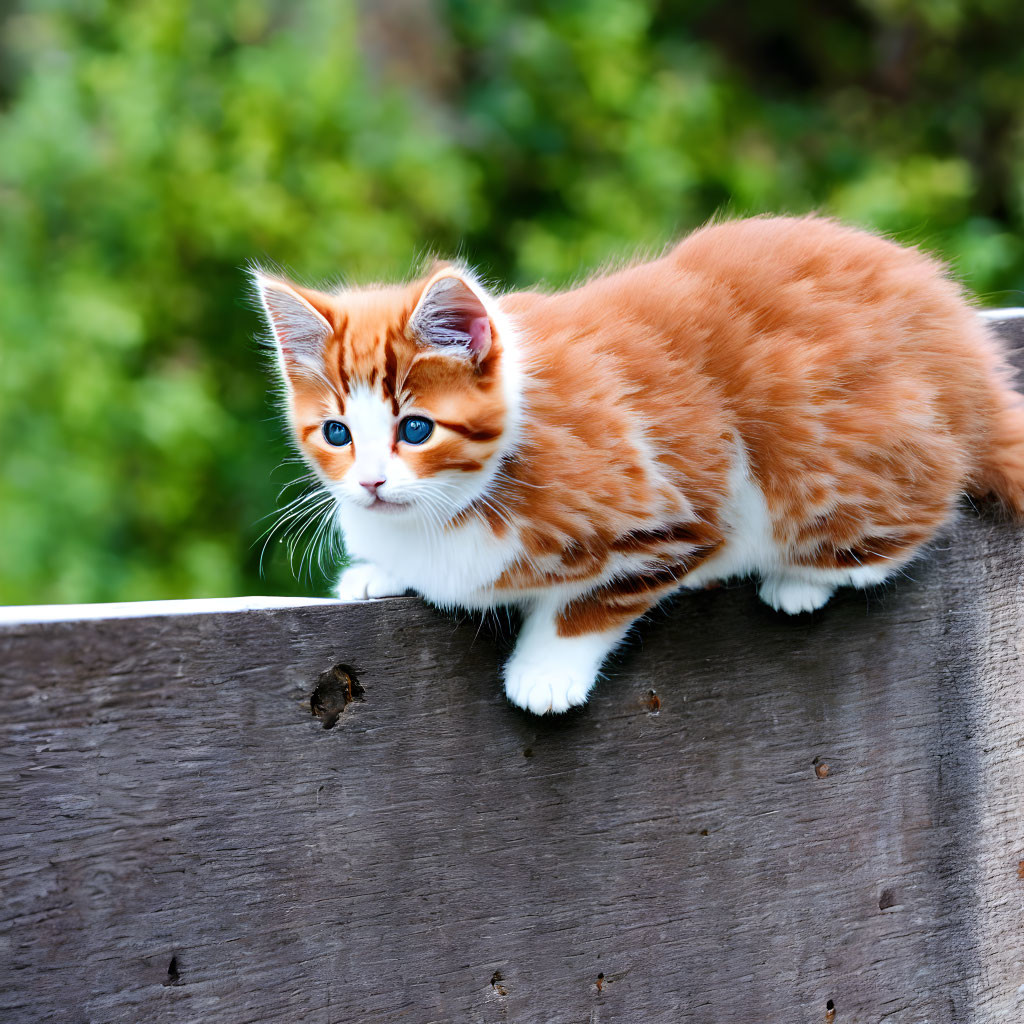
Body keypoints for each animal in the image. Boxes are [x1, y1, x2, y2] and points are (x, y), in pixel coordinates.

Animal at [253, 216, 1024, 712]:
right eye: (337, 433)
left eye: (415, 429)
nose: (372, 483)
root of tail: (964, 354)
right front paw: (375, 573)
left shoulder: (683, 513)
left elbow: (598, 598)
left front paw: (546, 671)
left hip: (832, 464)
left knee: (917, 509)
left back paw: (801, 580)